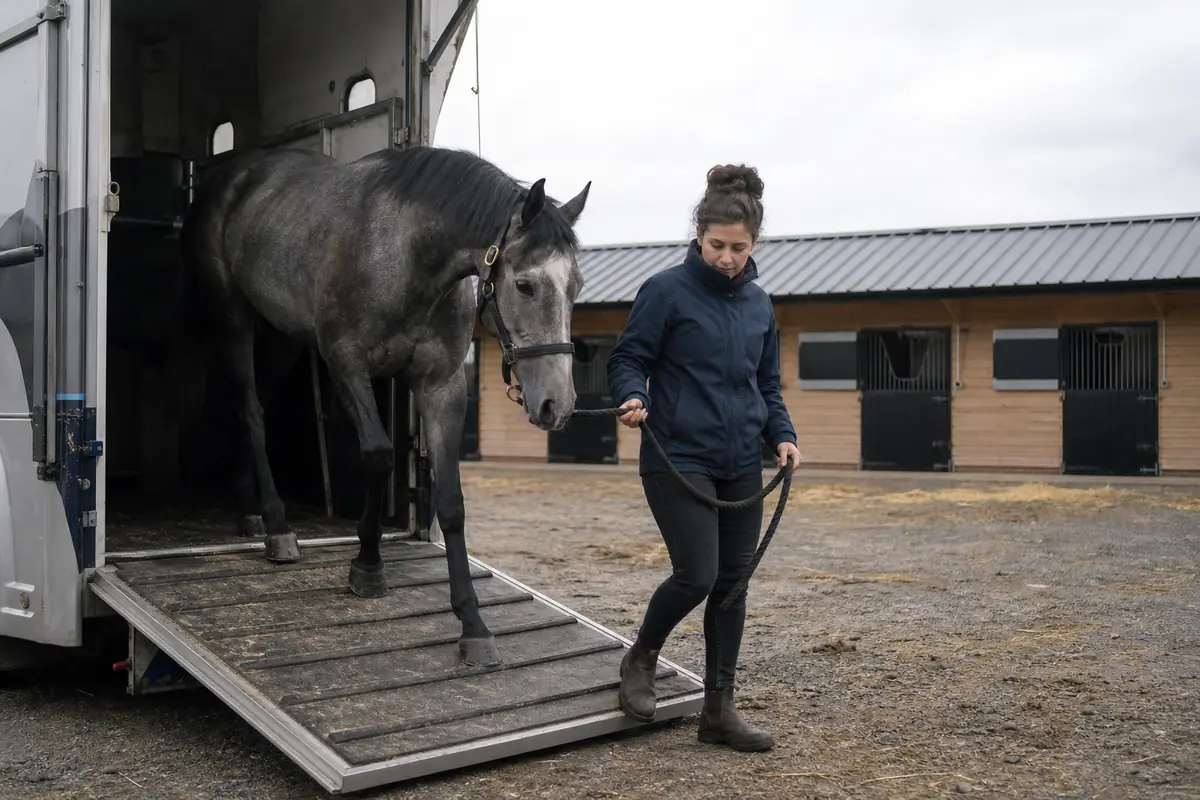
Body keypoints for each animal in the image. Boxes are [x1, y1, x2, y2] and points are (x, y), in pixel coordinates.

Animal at [179, 144, 590, 666]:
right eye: (525, 285)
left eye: (576, 286)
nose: (558, 404)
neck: (408, 255)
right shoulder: (347, 364)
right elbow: (377, 457)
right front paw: (367, 565)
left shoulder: (441, 387)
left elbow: (451, 503)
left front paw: (473, 626)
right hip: (233, 316)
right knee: (250, 410)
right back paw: (277, 527)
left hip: (283, 335)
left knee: (258, 406)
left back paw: (249, 508)